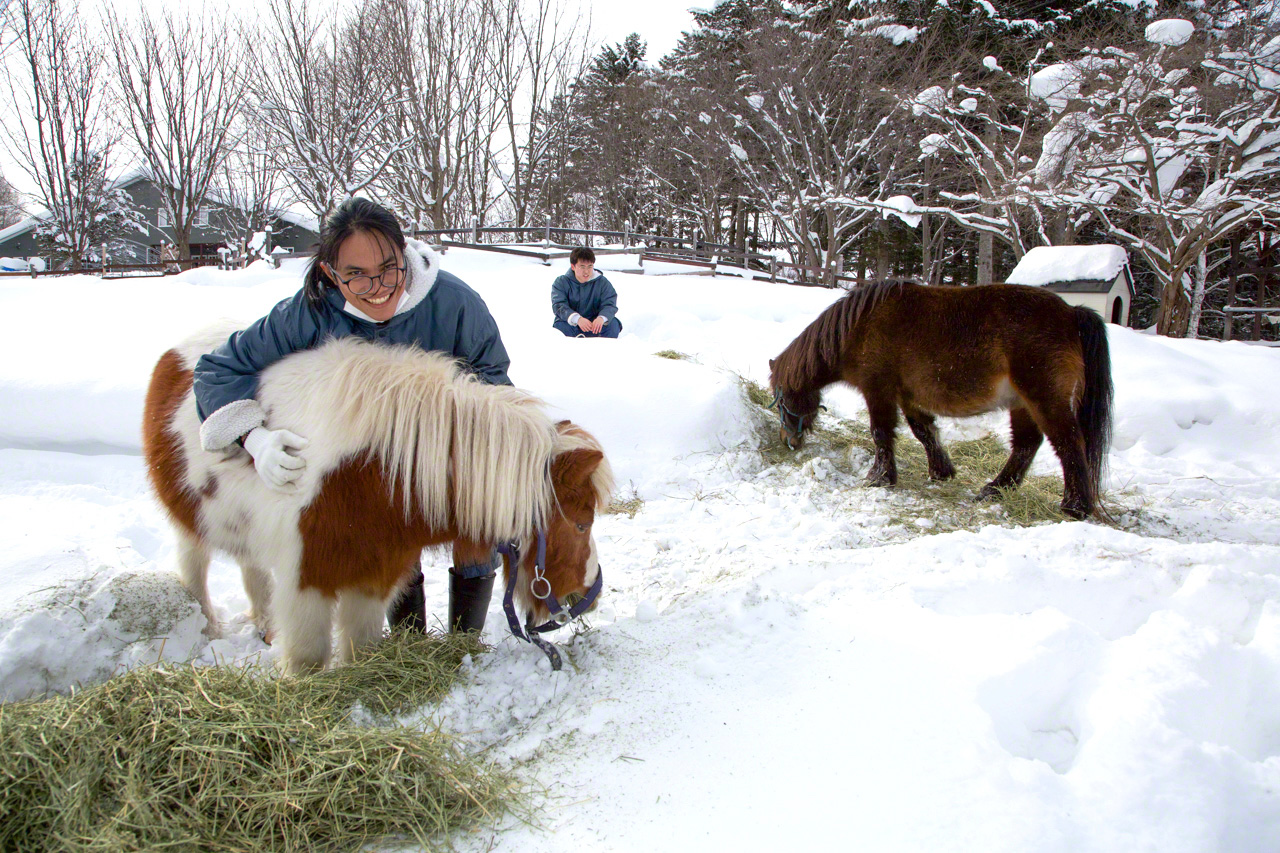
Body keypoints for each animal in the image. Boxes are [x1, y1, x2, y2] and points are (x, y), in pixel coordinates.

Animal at [142, 328, 613, 673]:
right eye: (581, 523)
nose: (592, 592)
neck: (373, 471)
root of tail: (179, 349)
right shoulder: (304, 581)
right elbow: (308, 660)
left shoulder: (372, 575)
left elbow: (360, 650)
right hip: (191, 523)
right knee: (194, 567)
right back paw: (207, 628)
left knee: (252, 572)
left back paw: (264, 626)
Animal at [768, 280, 1113, 520]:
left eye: (781, 399)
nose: (788, 440)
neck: (859, 328)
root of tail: (1071, 313)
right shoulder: (908, 397)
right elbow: (924, 432)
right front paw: (941, 471)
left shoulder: (878, 391)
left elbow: (881, 433)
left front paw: (880, 477)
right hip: (1022, 404)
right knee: (1026, 445)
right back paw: (995, 489)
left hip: (1044, 400)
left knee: (1069, 444)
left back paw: (1075, 506)